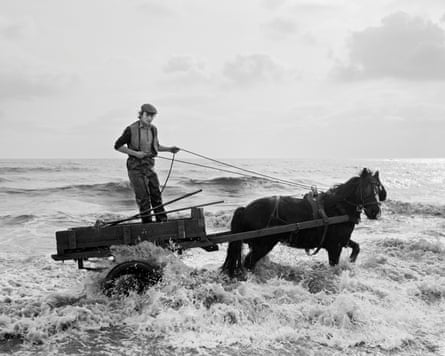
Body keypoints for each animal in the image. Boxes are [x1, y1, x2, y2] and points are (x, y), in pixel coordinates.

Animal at [221, 168, 386, 276]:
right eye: (365, 189)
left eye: (378, 189)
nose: (375, 212)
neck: (338, 208)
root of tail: (245, 209)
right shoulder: (335, 246)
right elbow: (334, 265)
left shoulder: (341, 241)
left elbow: (356, 247)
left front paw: (351, 262)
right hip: (264, 244)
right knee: (249, 263)